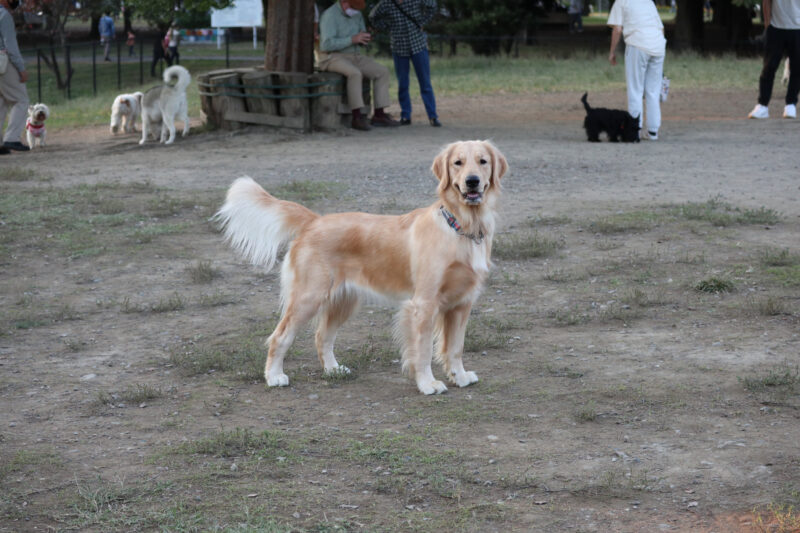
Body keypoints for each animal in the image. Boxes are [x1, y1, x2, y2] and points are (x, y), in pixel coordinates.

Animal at [216, 139, 510, 392]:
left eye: (482, 161)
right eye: (458, 163)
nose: (472, 182)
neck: (462, 228)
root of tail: (314, 220)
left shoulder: (462, 303)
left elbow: (455, 347)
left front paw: (459, 376)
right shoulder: (424, 304)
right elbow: (424, 350)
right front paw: (428, 384)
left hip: (344, 300)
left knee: (322, 337)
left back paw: (333, 370)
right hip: (308, 297)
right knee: (280, 336)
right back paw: (275, 376)